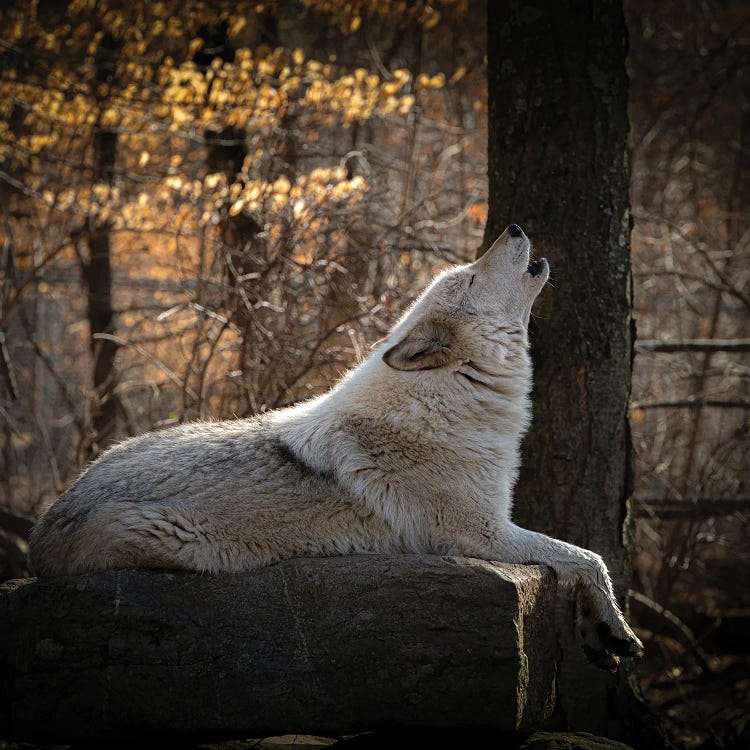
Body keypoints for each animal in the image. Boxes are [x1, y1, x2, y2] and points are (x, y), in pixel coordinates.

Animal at [30, 223, 648, 668]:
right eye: (472, 278)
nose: (515, 226)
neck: (452, 398)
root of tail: (44, 526)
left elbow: (582, 555)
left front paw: (603, 632)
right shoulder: (483, 533)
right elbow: (587, 556)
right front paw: (618, 630)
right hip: (180, 542)